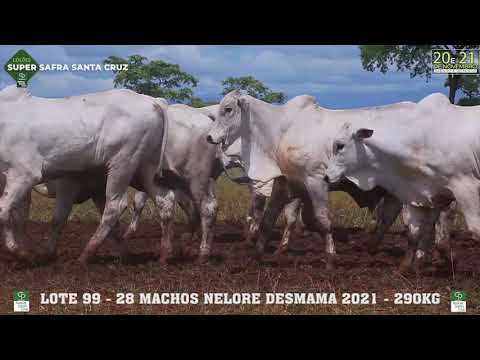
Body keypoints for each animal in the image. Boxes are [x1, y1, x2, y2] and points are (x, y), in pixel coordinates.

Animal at [0, 85, 169, 262]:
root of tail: (153, 101)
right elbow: (21, 217)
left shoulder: (24, 174)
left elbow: (4, 210)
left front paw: (19, 251)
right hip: (147, 168)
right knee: (165, 201)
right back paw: (161, 255)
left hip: (123, 162)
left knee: (115, 206)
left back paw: (86, 254)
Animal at [34, 100, 222, 262]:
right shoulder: (97, 191)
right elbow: (112, 223)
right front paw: (123, 252)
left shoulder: (67, 185)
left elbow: (58, 220)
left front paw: (48, 253)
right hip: (166, 180)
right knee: (181, 207)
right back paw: (178, 249)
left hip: (196, 179)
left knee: (207, 207)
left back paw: (202, 254)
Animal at [206, 90, 404, 270]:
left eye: (228, 109)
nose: (209, 137)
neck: (281, 130)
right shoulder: (285, 182)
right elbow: (270, 220)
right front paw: (258, 256)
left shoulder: (316, 180)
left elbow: (323, 220)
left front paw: (330, 258)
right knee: (389, 215)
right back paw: (370, 246)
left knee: (388, 215)